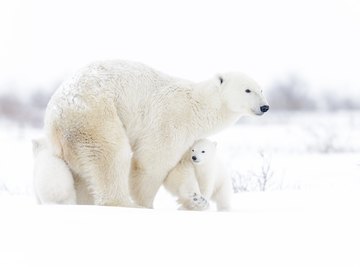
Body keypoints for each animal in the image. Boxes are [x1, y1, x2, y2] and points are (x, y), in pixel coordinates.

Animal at [43, 60, 268, 209]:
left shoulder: (188, 138)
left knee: (82, 173)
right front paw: (146, 205)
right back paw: (122, 203)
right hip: (95, 115)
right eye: (248, 90)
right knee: (110, 155)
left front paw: (195, 200)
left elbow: (179, 168)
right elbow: (152, 161)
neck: (199, 105)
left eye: (261, 89)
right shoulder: (172, 119)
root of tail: (55, 113)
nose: (265, 107)